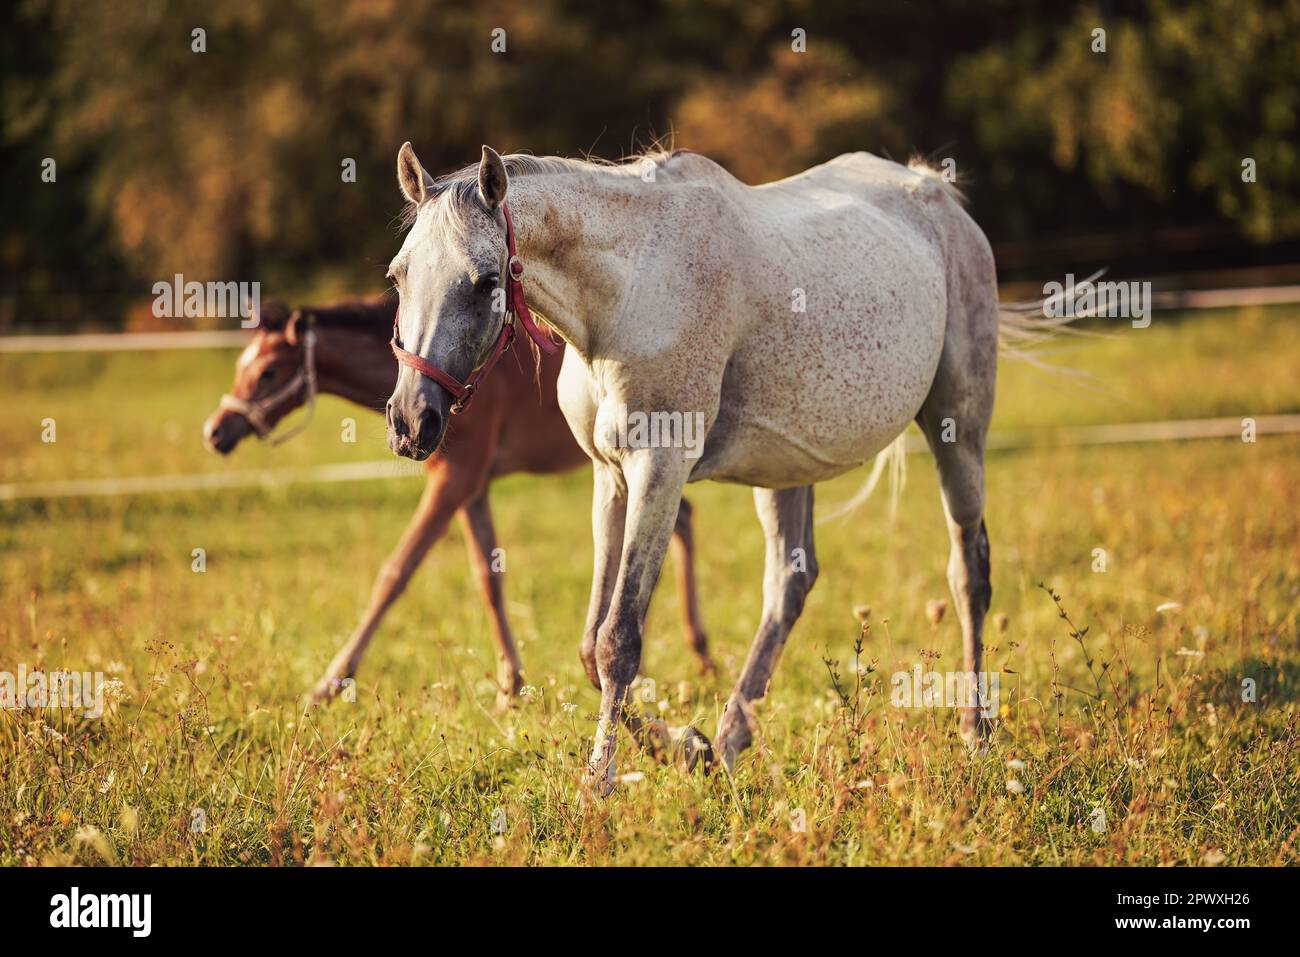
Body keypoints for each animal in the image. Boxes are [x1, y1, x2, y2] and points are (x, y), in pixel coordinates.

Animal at [202, 296, 712, 710]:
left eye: (268, 371)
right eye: (241, 366)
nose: (216, 431)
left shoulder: (455, 480)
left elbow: (395, 573)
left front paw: (329, 683)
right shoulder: (471, 486)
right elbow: (488, 577)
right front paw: (511, 685)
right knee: (683, 521)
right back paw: (697, 655)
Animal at [384, 141, 1017, 791]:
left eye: (485, 281)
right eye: (398, 275)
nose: (411, 421)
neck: (630, 292)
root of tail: (938, 195)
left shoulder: (658, 472)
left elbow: (618, 641)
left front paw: (601, 781)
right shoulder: (610, 478)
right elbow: (590, 646)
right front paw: (687, 746)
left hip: (958, 431)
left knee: (969, 572)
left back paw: (975, 731)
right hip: (785, 472)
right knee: (788, 586)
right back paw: (730, 741)